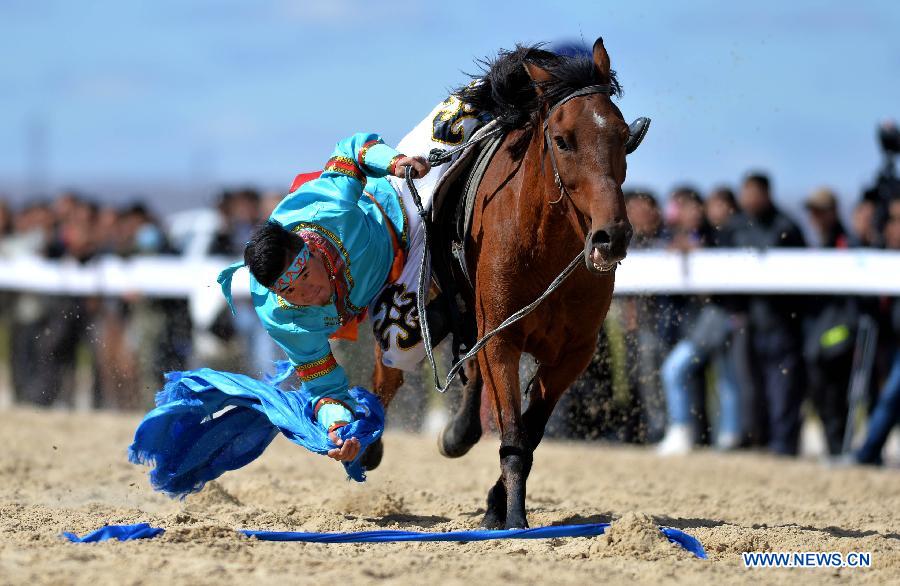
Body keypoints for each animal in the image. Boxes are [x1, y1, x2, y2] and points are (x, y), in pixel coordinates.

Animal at [372, 38, 648, 528]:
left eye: (621, 136)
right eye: (562, 140)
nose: (611, 236)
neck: (543, 244)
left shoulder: (572, 354)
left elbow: (530, 432)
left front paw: (498, 504)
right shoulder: (502, 336)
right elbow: (514, 434)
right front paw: (515, 520)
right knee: (398, 366)